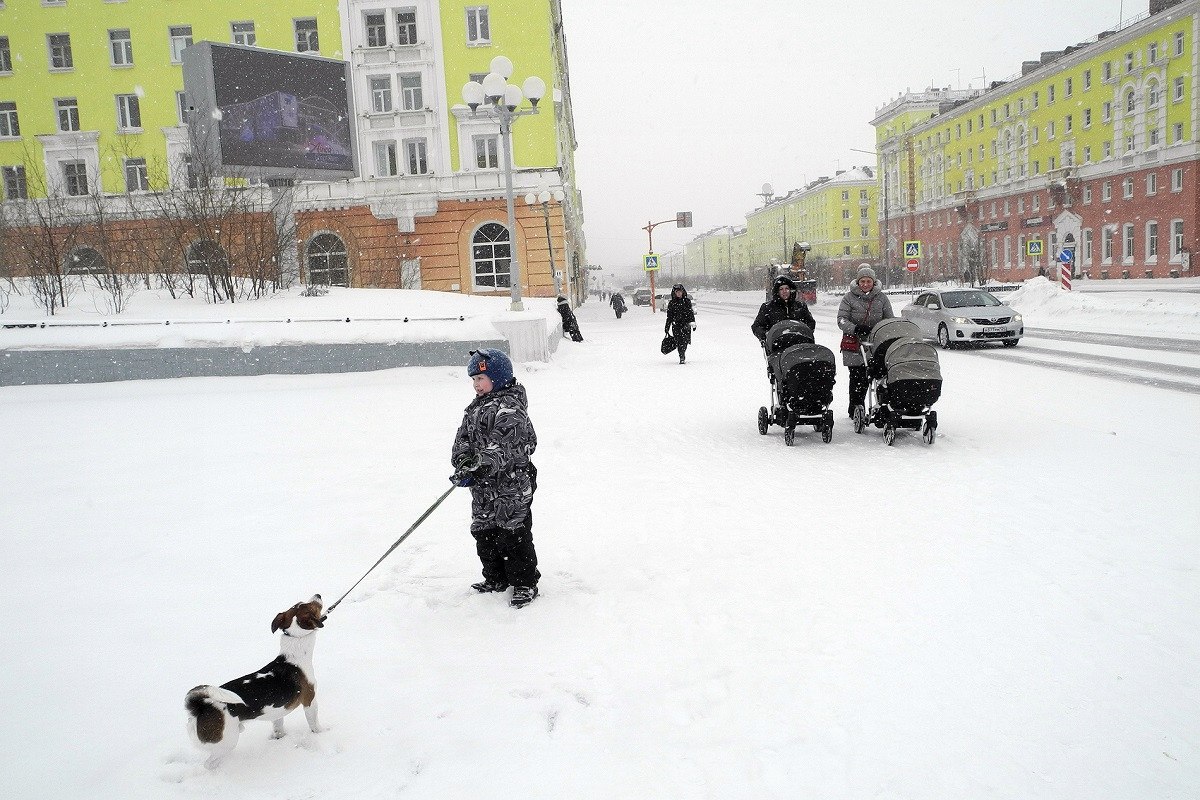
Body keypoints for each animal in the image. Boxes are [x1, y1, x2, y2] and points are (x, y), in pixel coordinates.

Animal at [184, 597, 324, 767]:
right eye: (311, 607)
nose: (318, 595)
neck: (294, 654)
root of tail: (200, 707)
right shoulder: (310, 701)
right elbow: (314, 724)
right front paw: (323, 734)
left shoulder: (278, 712)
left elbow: (278, 728)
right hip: (228, 741)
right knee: (209, 764)